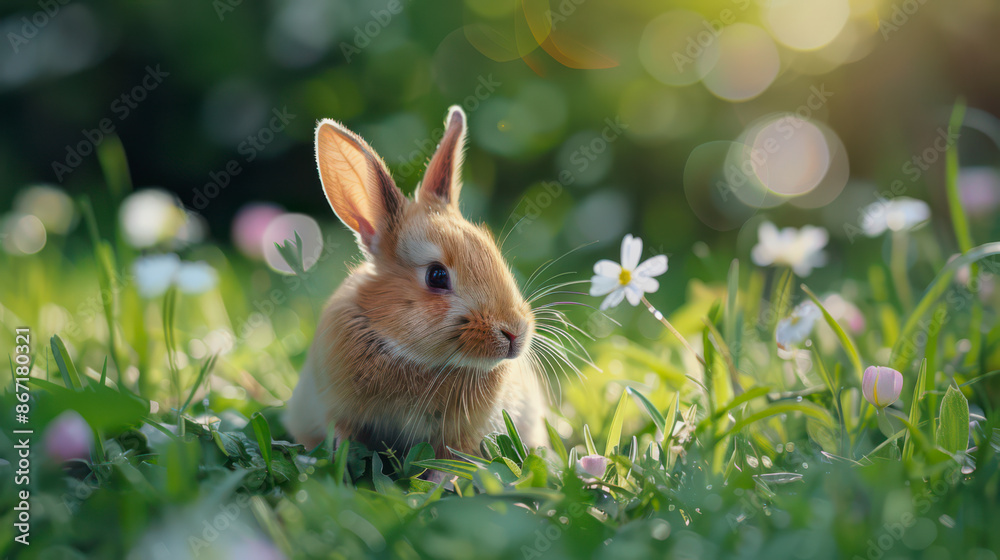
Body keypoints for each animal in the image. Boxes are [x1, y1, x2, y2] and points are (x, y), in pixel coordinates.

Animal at [283, 106, 548, 461]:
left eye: (493, 253)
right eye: (436, 276)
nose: (515, 334)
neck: (413, 358)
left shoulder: (460, 439)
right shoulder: (336, 412)